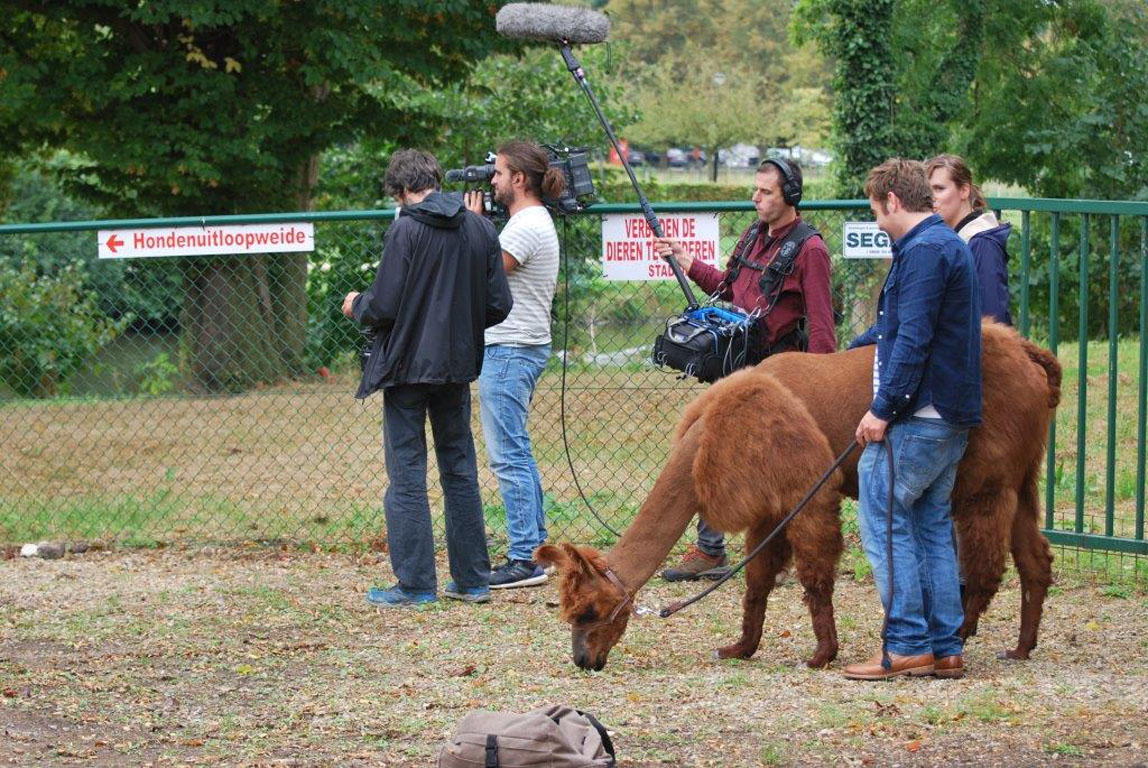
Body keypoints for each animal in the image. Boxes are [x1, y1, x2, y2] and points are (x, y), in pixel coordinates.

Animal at [538, 322, 1061, 672]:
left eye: (588, 612)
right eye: (566, 614)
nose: (583, 660)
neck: (706, 437)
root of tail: (1025, 351)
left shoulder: (806, 488)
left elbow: (814, 575)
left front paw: (822, 654)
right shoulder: (768, 505)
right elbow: (756, 581)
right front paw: (741, 648)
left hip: (985, 479)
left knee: (986, 563)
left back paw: (957, 639)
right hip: (1023, 474)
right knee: (1035, 556)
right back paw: (1020, 647)